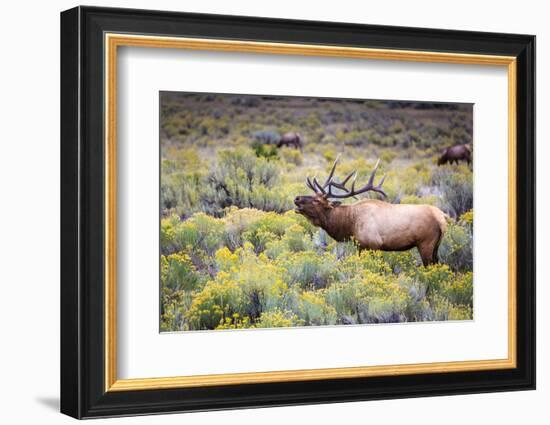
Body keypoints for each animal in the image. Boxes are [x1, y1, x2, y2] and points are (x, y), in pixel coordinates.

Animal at [296, 157, 450, 264]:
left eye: (317, 201)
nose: (297, 198)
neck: (350, 225)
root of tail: (441, 218)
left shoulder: (373, 245)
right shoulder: (362, 246)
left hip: (426, 243)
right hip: (436, 246)